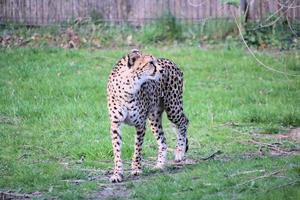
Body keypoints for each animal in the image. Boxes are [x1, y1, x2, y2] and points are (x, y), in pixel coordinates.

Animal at [106, 49, 189, 183]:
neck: (128, 86)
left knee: (184, 122)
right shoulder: (115, 124)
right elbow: (117, 150)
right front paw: (117, 173)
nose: (161, 70)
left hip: (172, 107)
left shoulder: (140, 124)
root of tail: (170, 61)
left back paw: (179, 153)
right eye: (150, 62)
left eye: (155, 61)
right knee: (163, 140)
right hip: (154, 117)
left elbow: (137, 149)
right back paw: (159, 165)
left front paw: (136, 169)